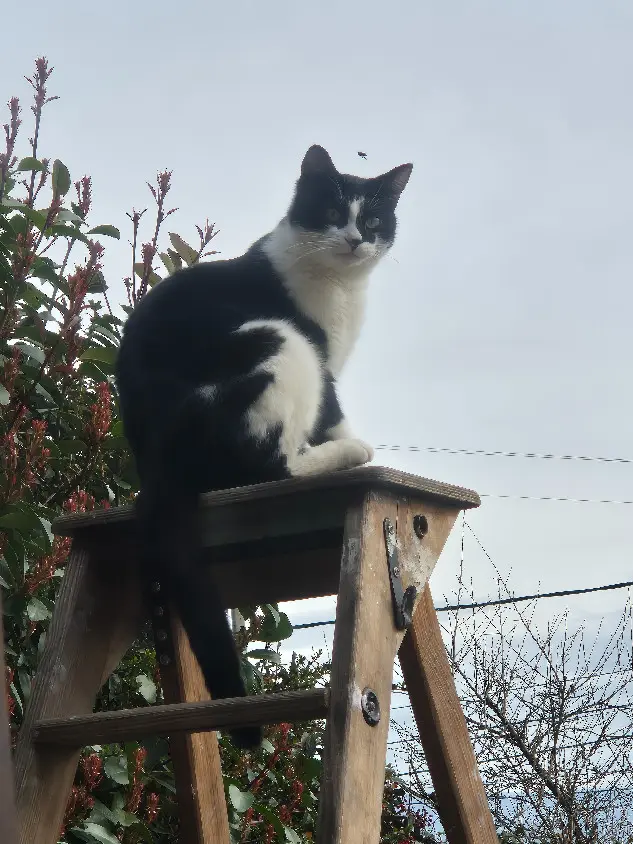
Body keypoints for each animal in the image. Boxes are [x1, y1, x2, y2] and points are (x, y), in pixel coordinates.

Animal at [116, 143, 412, 744]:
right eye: (331, 211)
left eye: (373, 220)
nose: (355, 238)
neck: (339, 287)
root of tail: (156, 462)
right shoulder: (321, 359)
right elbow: (333, 414)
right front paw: (352, 442)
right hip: (276, 338)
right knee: (272, 465)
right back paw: (349, 457)